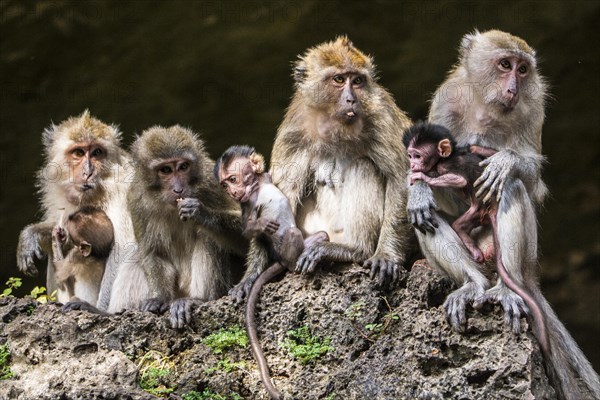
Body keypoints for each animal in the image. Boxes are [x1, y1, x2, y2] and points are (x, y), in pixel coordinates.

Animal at [129, 126, 246, 330]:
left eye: (183, 167)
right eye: (166, 170)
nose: (178, 189)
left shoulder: (211, 183)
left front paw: (201, 213)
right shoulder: (136, 200)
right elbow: (154, 252)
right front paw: (160, 298)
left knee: (208, 237)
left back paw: (198, 299)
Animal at [216, 145, 328, 400]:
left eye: (233, 179)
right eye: (225, 185)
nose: (233, 191)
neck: (256, 189)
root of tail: (281, 260)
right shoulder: (246, 204)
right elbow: (247, 229)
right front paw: (260, 226)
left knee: (321, 235)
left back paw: (316, 250)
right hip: (286, 250)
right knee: (293, 237)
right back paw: (296, 264)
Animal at [270, 34, 412, 284]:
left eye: (357, 81)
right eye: (338, 79)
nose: (351, 100)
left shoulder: (380, 114)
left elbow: (400, 177)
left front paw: (386, 256)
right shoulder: (294, 131)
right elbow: (283, 193)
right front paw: (250, 276)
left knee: (364, 166)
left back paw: (356, 250)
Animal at [408, 29, 600, 398]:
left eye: (523, 70)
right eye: (505, 65)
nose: (513, 88)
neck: (486, 108)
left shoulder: (534, 106)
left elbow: (531, 179)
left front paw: (504, 161)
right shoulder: (447, 97)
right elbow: (428, 192)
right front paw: (420, 191)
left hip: (521, 254)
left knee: (510, 190)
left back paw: (506, 288)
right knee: (430, 222)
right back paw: (473, 283)